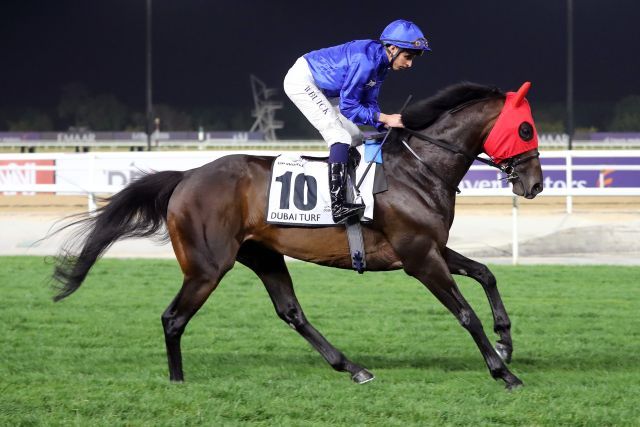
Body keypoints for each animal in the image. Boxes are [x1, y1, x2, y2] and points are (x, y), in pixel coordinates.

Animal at [52, 81, 544, 392]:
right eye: (526, 129)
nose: (536, 184)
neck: (418, 169)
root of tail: (188, 175)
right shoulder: (420, 257)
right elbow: (465, 313)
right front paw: (503, 373)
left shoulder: (430, 247)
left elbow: (486, 273)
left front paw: (506, 340)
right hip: (208, 266)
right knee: (173, 318)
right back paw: (177, 381)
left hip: (262, 255)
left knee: (290, 312)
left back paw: (353, 368)